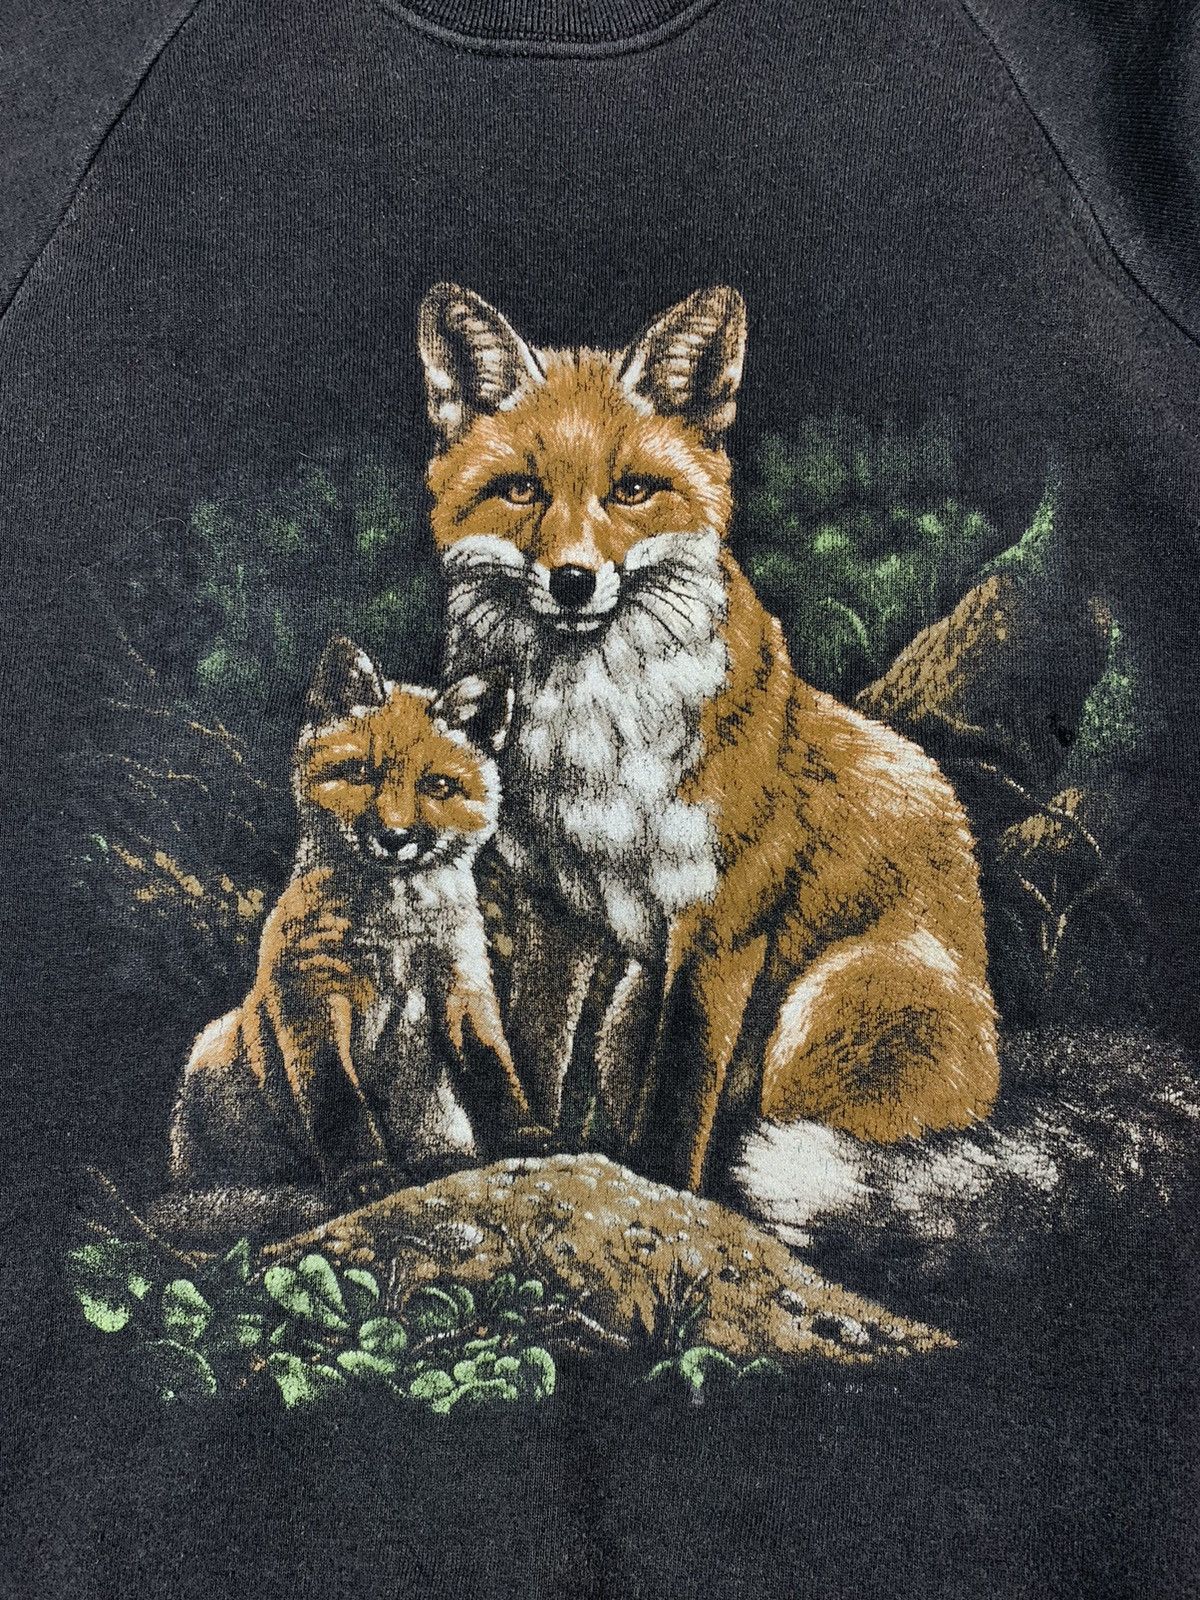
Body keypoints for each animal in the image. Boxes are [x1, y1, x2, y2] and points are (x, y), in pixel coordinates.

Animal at [168, 635, 534, 1205]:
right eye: (361, 773)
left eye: (437, 785)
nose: (394, 836)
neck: (396, 935)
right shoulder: (312, 993)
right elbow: (337, 1099)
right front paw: (364, 1174)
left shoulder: (462, 982)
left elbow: (492, 1065)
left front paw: (523, 1136)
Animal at [417, 281, 1000, 1198]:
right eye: (520, 491)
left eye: (631, 490)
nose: (573, 580)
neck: (596, 750)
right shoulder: (555, 911)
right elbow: (535, 1050)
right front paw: (532, 1152)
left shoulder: (722, 920)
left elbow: (682, 1090)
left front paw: (659, 1184)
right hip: (629, 1007)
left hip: (820, 1011)